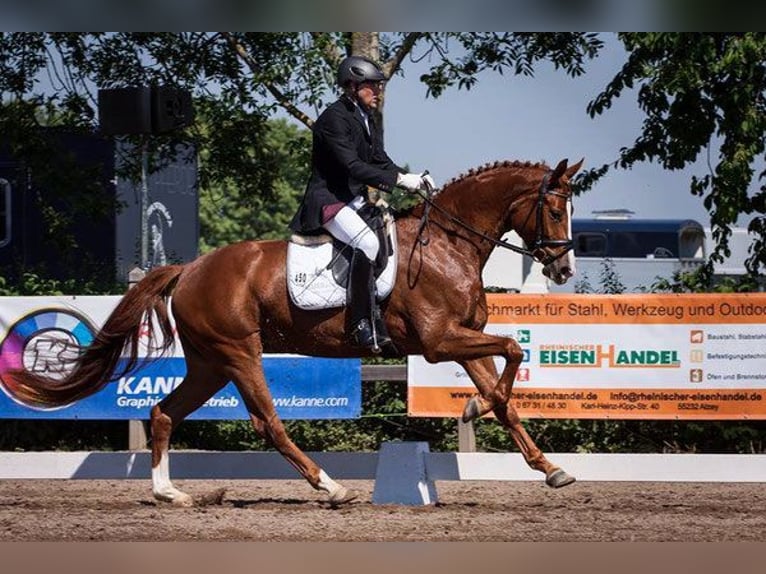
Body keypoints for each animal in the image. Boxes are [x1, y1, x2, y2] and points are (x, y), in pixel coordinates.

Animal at [9, 158, 584, 508]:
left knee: (164, 413)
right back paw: (330, 487)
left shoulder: (464, 339)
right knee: (268, 423)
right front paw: (474, 409)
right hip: (239, 354)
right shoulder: (441, 342)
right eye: (555, 209)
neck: (446, 243)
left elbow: (506, 395)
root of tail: (191, 268)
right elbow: (510, 353)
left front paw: (550, 468)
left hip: (210, 364)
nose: (562, 271)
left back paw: (170, 494)